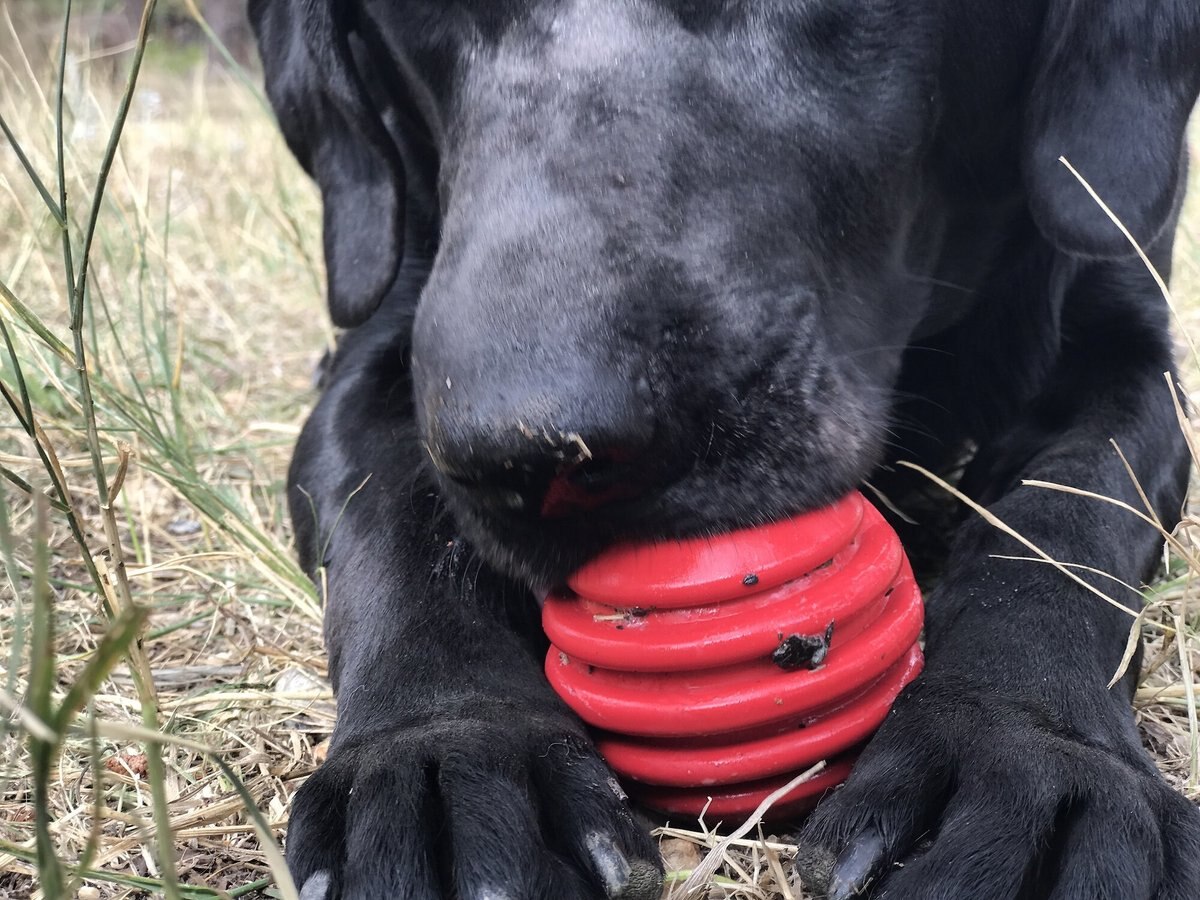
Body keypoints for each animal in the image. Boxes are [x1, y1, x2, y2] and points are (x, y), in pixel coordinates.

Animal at [248, 1, 1200, 900]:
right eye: (416, 16)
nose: (538, 458)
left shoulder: (1125, 345)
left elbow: (1068, 517)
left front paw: (1025, 748)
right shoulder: (378, 354)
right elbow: (400, 520)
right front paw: (444, 749)